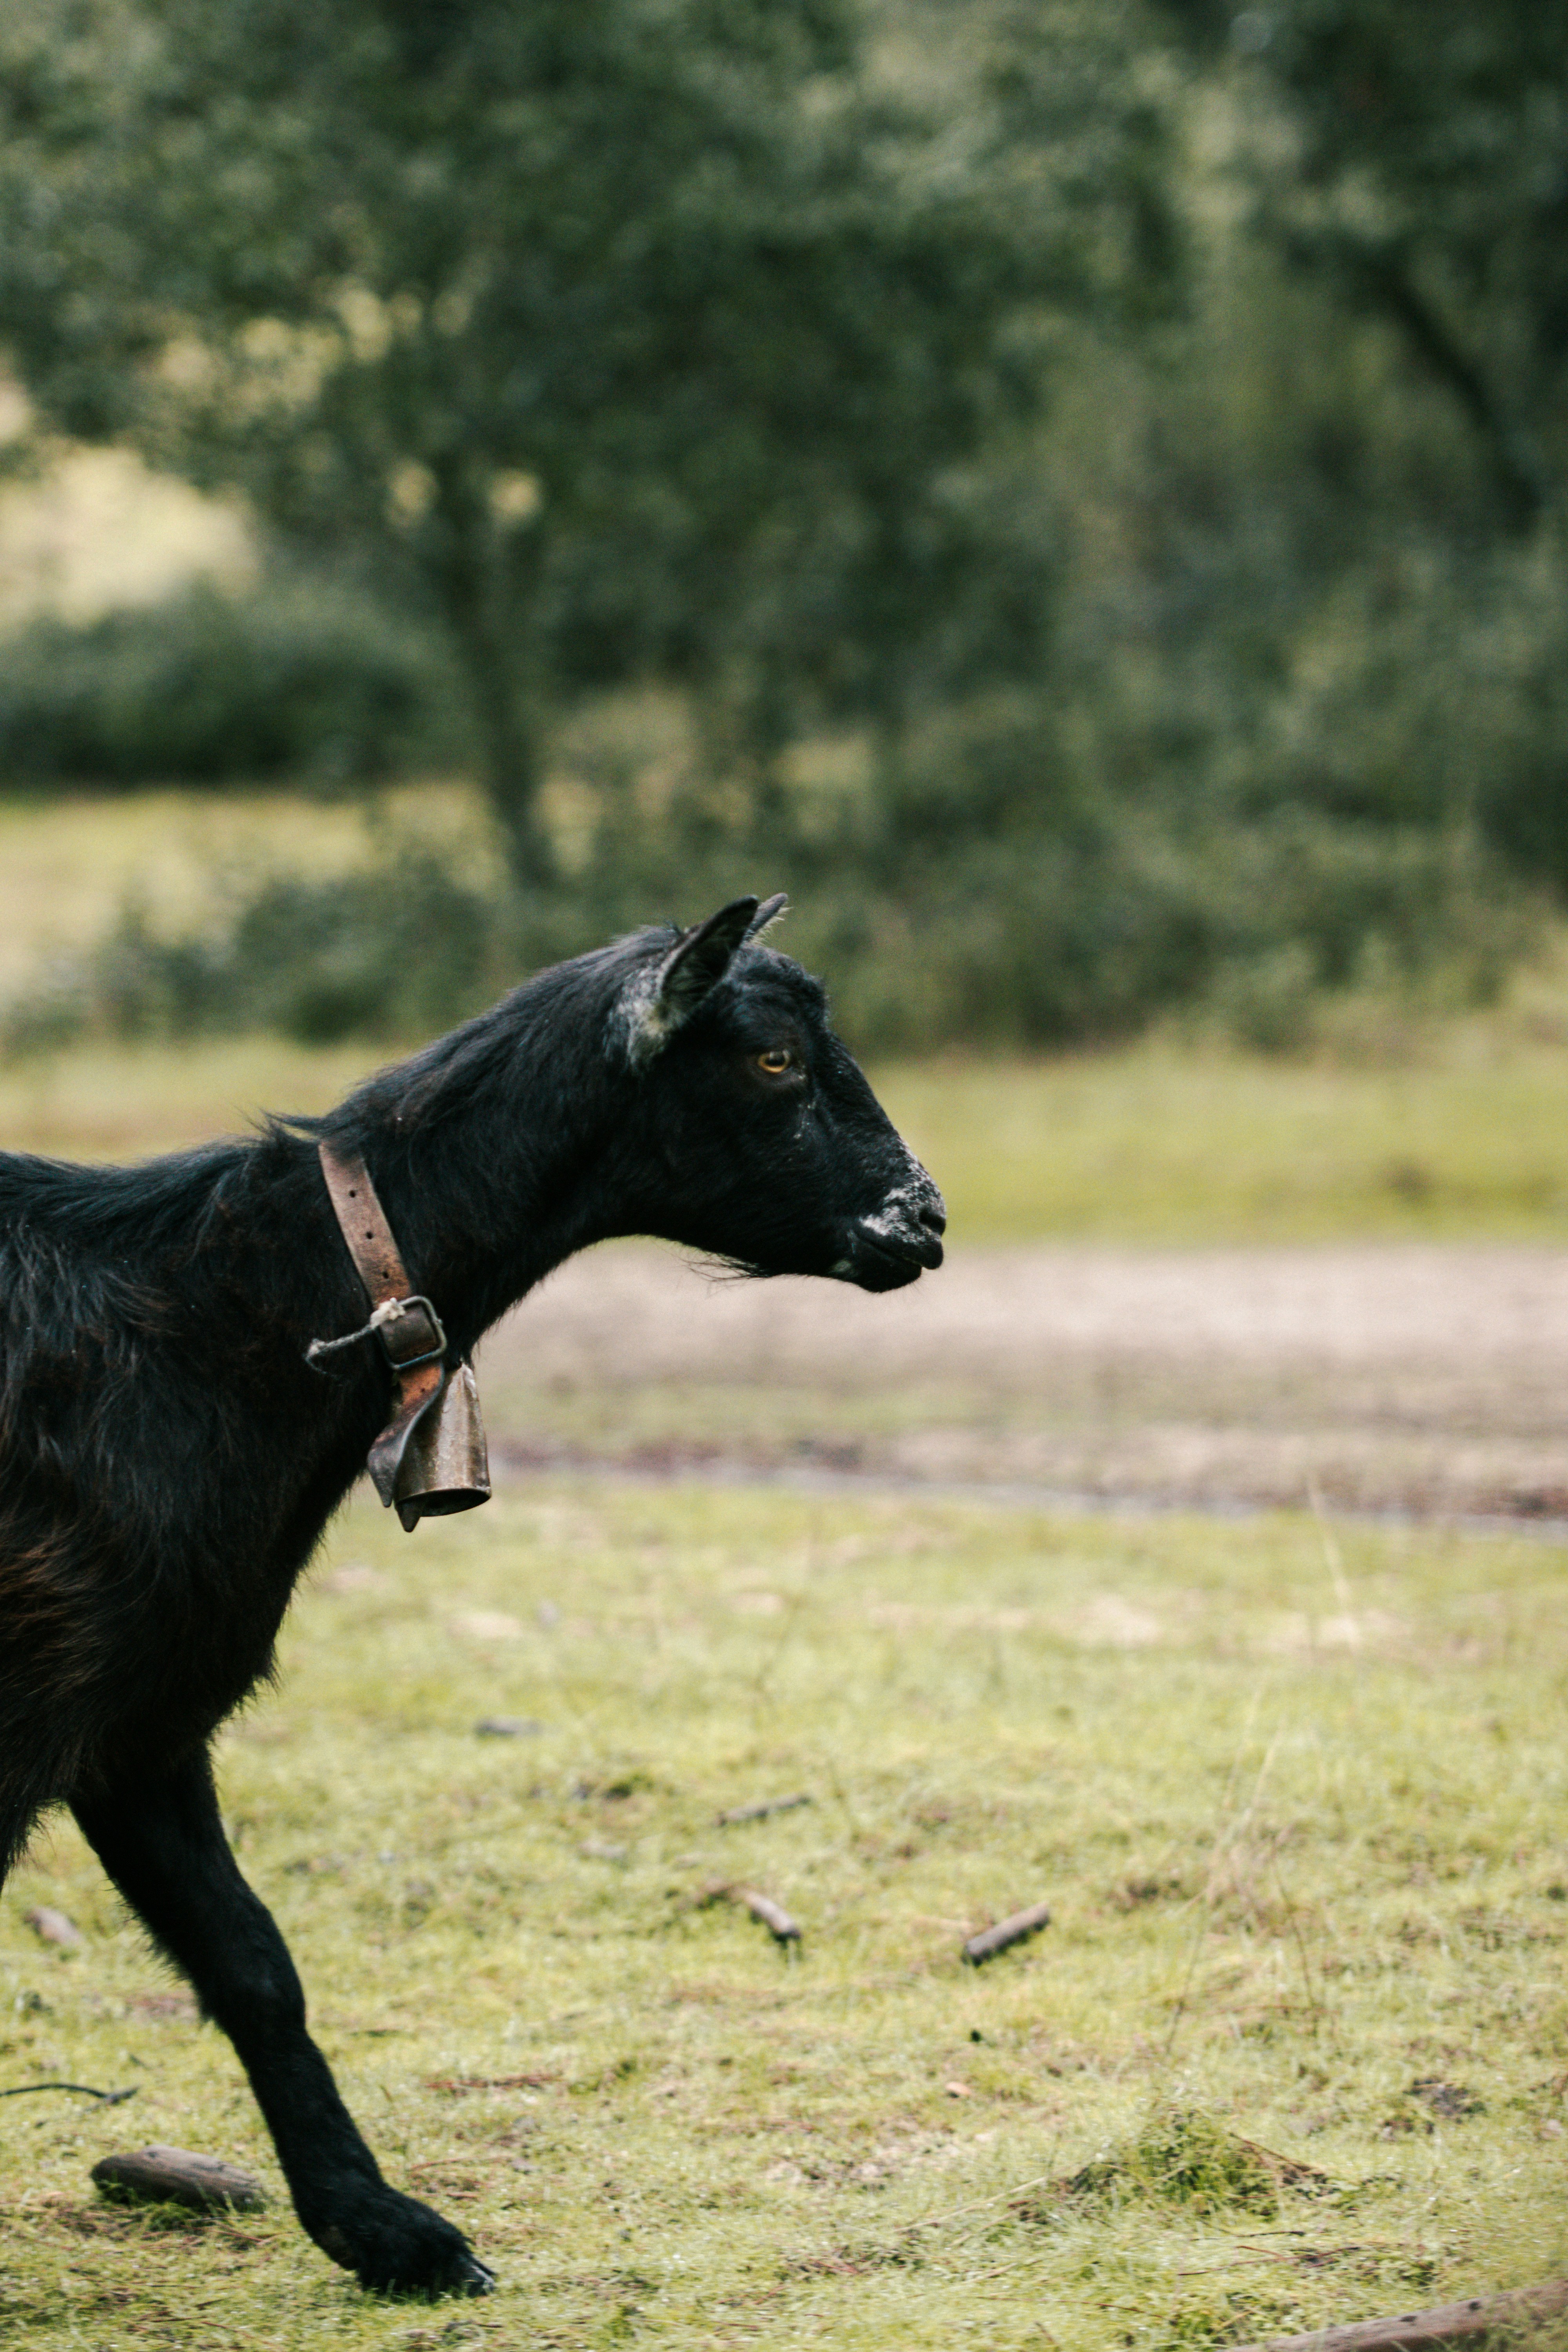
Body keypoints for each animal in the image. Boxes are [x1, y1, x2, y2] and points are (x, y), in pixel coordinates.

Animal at [0, 897, 945, 2295]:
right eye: (773, 1057)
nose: (923, 1220)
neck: (222, 1316)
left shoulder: (143, 1716)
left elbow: (253, 1961)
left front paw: (387, 2230)